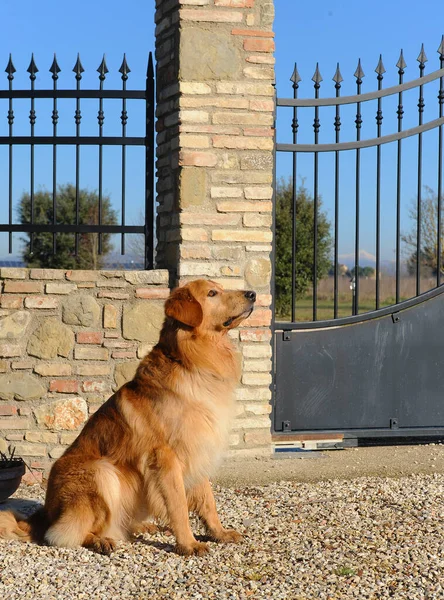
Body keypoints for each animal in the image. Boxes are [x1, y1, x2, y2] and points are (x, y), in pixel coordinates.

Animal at [0, 278, 256, 556]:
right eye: (212, 293)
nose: (253, 294)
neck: (189, 361)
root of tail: (45, 513)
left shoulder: (198, 451)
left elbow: (208, 501)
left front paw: (219, 533)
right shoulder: (165, 458)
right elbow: (178, 506)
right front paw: (188, 544)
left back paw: (143, 527)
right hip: (101, 472)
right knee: (65, 533)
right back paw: (100, 540)